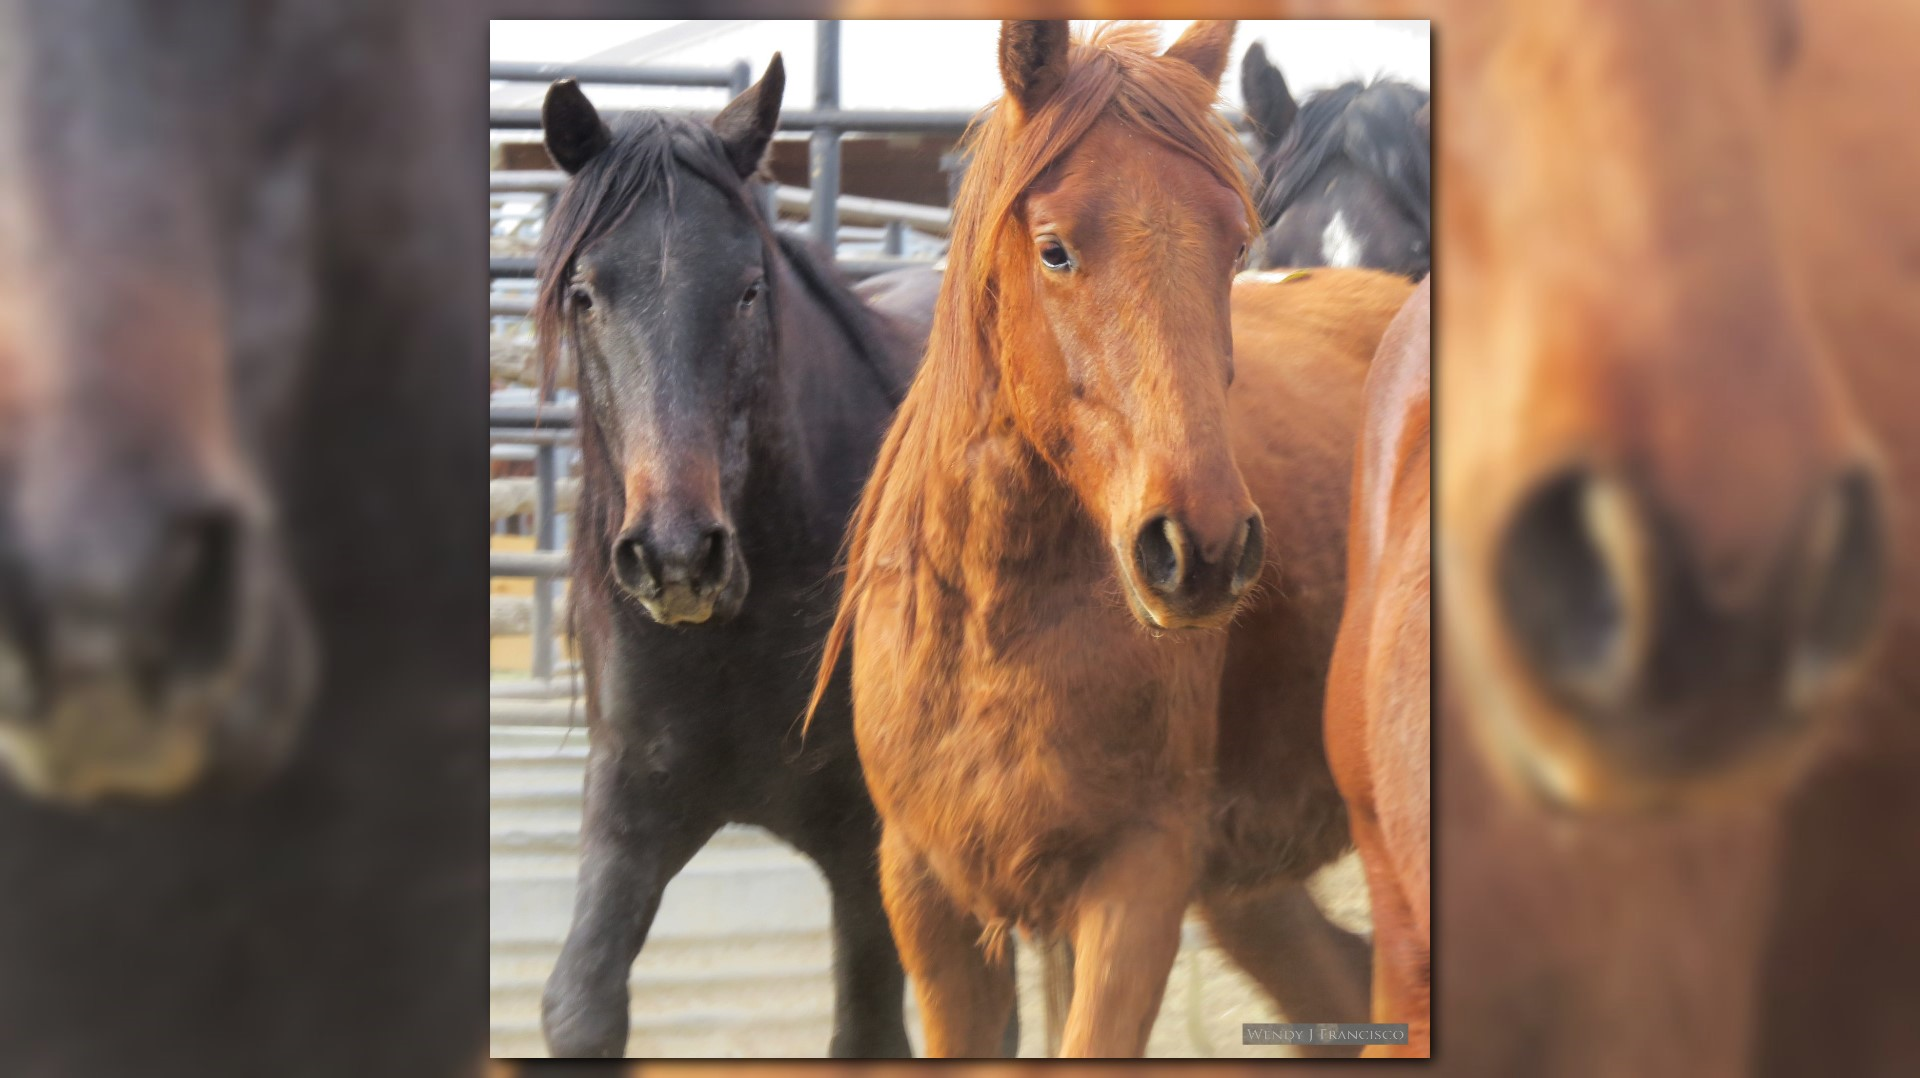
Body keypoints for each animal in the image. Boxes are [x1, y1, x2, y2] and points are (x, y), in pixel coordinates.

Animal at [532, 61, 928, 1059]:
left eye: (749, 289)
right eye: (585, 293)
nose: (678, 556)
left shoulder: (868, 850)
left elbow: (868, 1028)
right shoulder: (633, 802)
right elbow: (580, 1004)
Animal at [808, 20, 1410, 1057]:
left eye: (1234, 243)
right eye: (1054, 250)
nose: (1201, 548)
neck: (993, 626)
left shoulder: (1137, 887)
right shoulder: (927, 896)